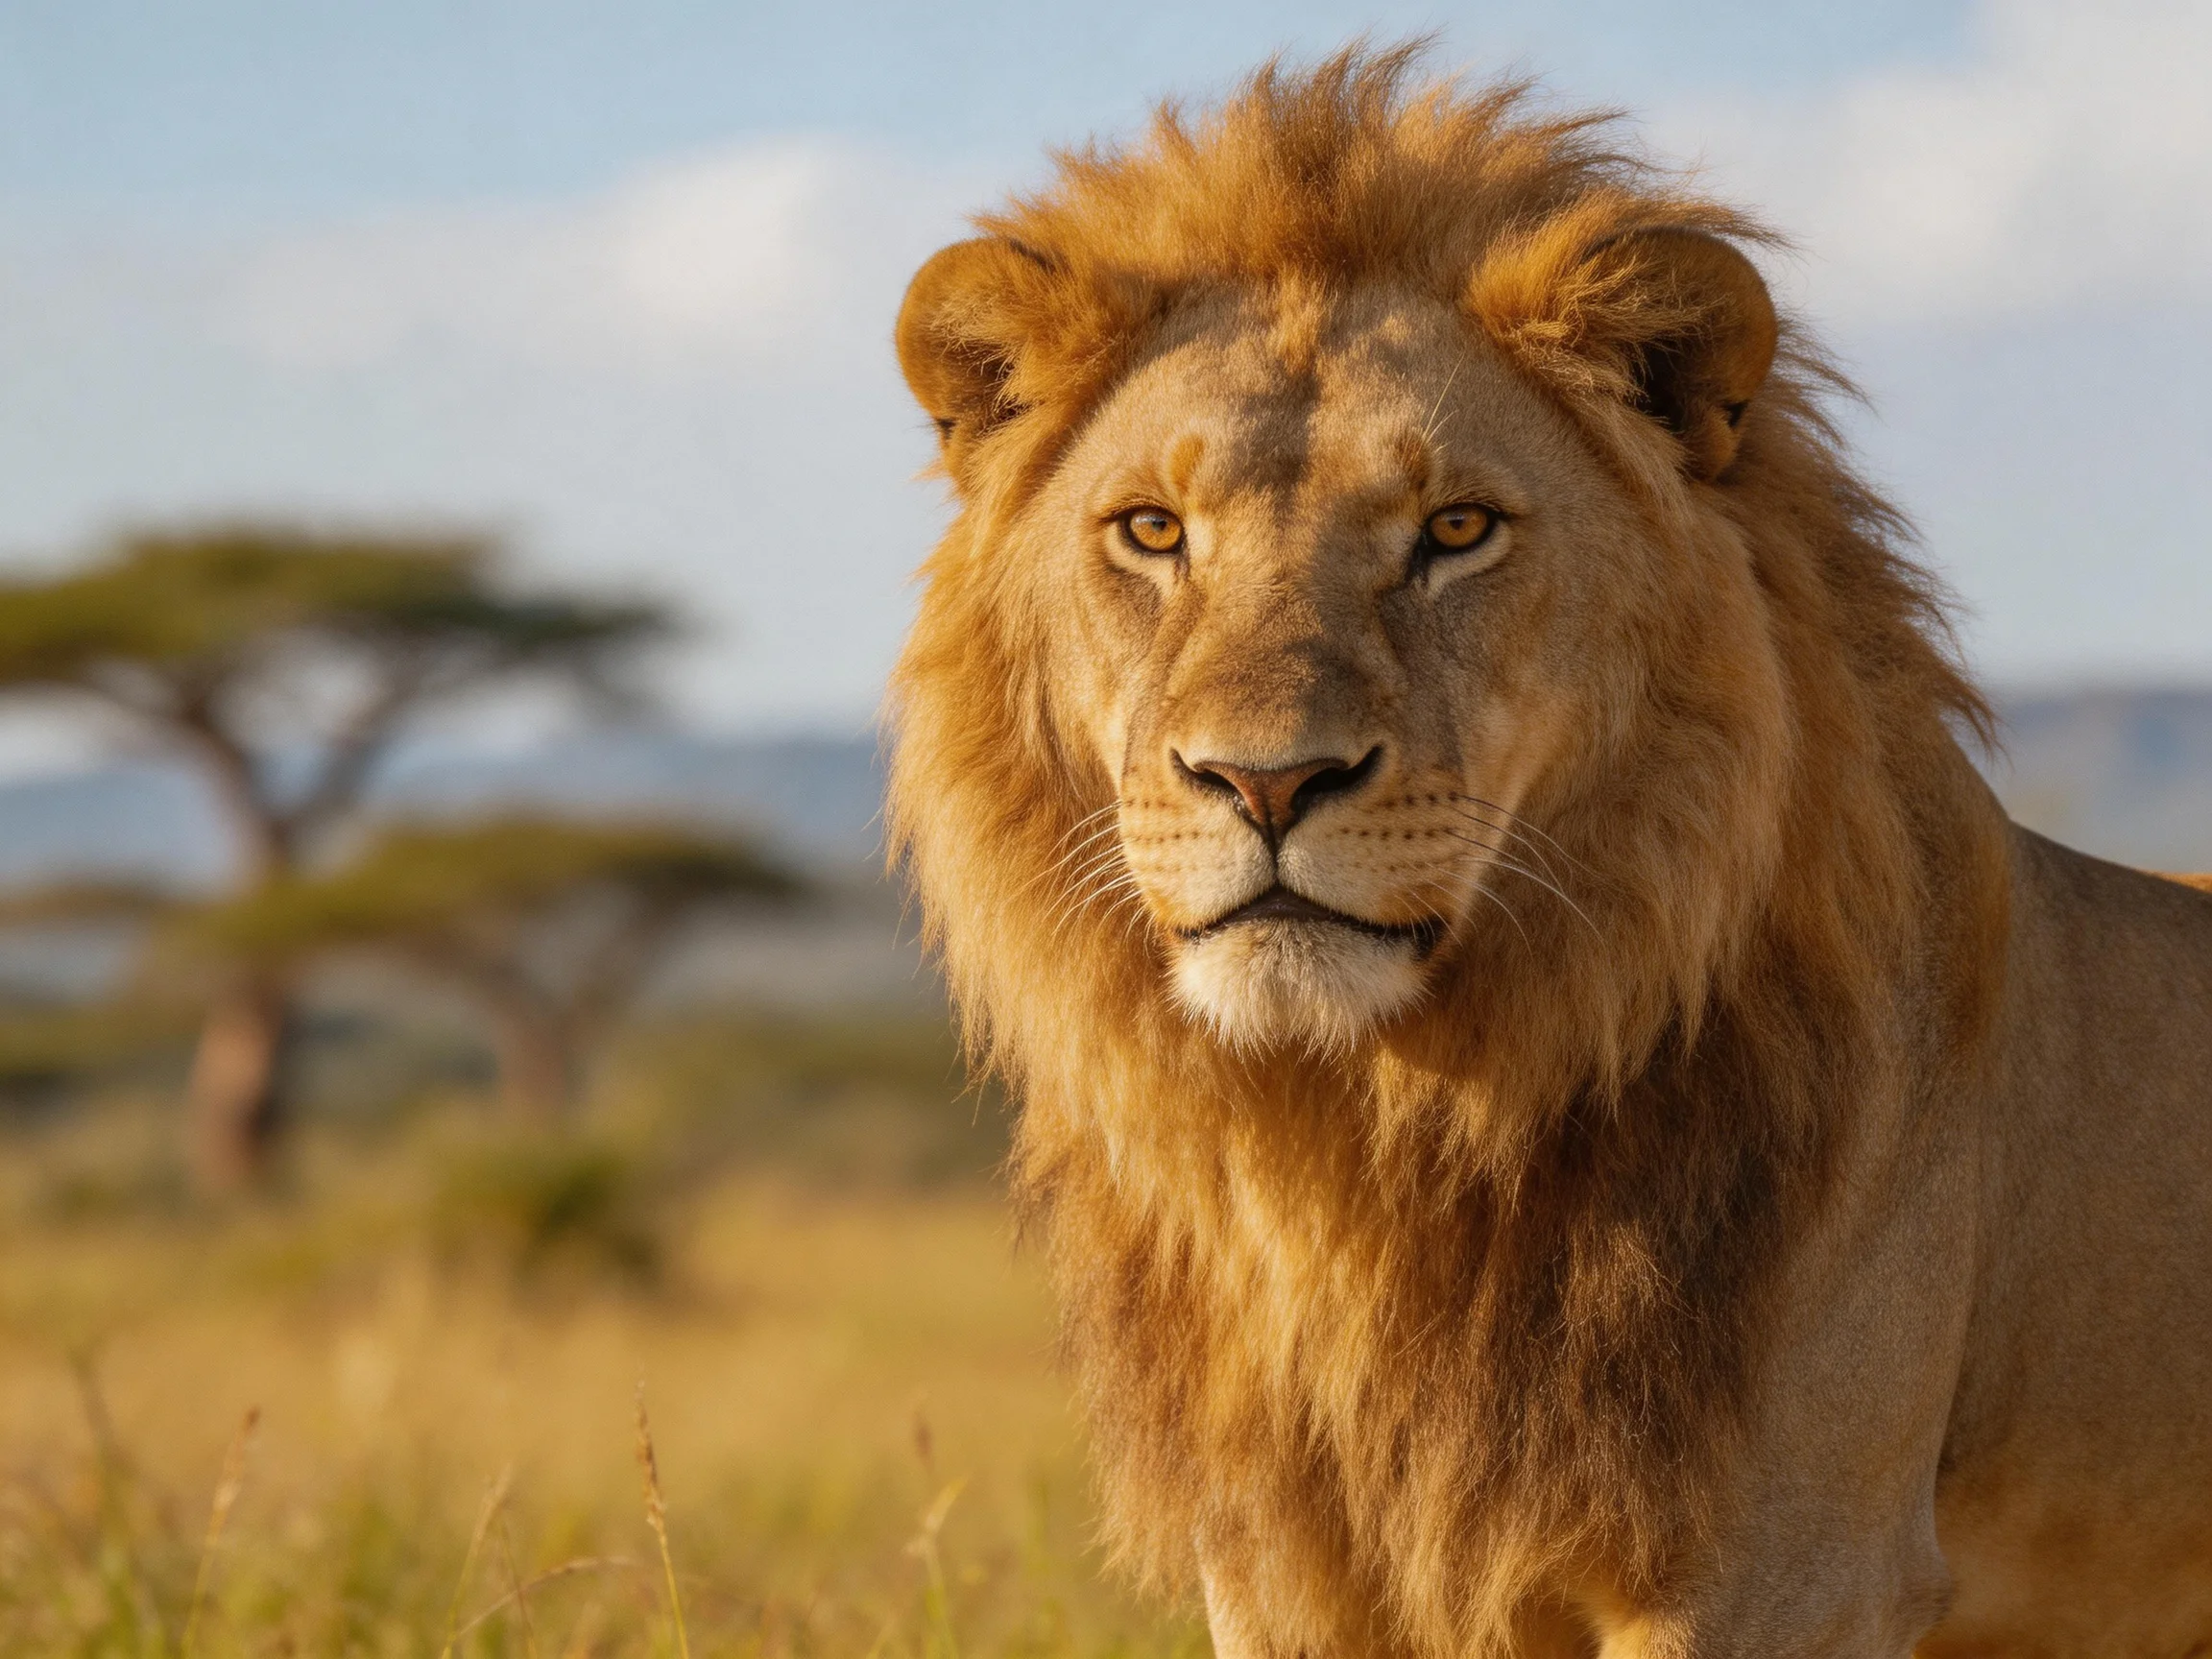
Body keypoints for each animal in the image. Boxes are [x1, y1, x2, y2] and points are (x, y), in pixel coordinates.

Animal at [884, 46, 2212, 1659]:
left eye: (1457, 528)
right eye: (1149, 530)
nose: (1267, 781)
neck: (1364, 1153)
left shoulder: (1793, 1566)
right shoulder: (1277, 1577)